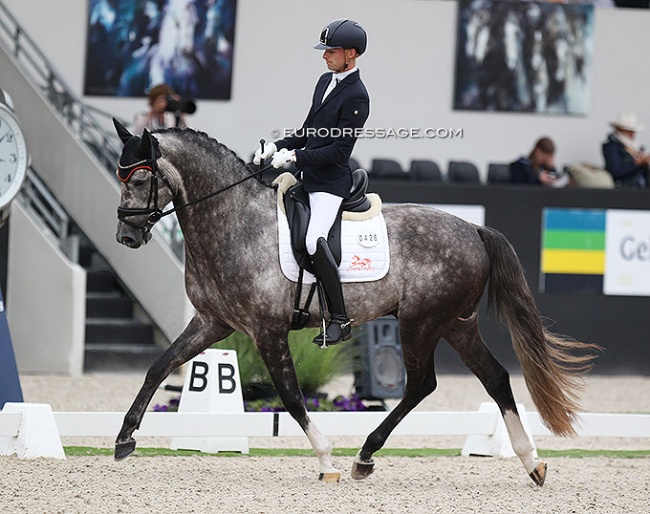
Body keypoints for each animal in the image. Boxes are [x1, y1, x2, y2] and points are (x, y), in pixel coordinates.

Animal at [112, 120, 596, 484]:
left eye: (141, 179)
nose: (126, 238)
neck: (233, 221)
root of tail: (473, 230)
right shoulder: (213, 322)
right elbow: (160, 366)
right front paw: (124, 439)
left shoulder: (267, 330)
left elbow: (291, 397)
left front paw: (326, 460)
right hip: (457, 323)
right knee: (494, 378)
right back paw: (531, 462)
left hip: (421, 322)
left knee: (422, 385)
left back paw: (364, 456)